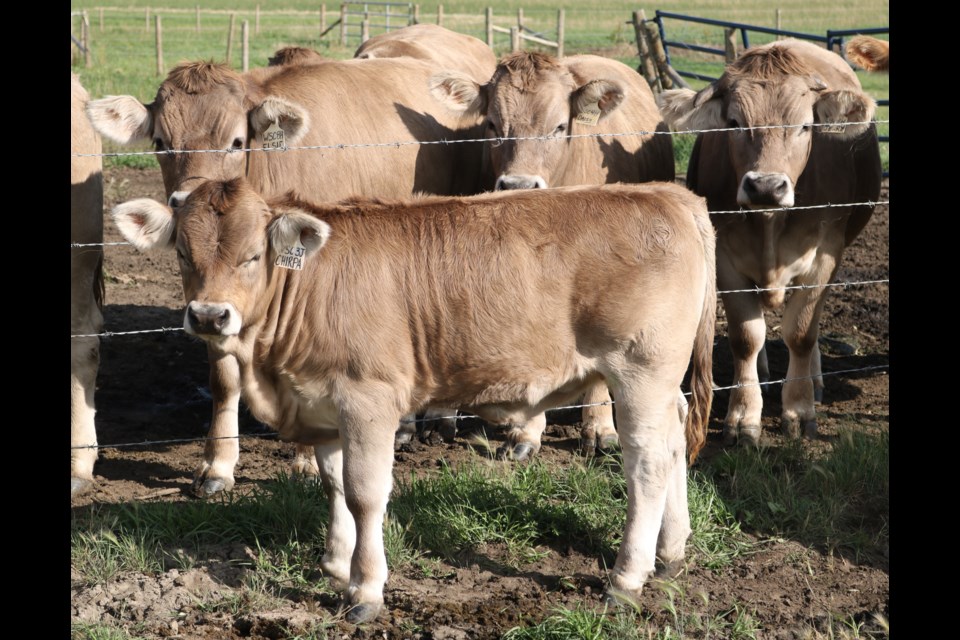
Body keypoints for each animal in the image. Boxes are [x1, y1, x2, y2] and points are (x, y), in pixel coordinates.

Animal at [85, 56, 492, 496]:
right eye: (161, 142)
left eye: (236, 141)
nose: (183, 200)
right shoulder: (215, 299)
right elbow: (224, 377)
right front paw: (217, 464)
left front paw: (307, 461)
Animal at [112, 176, 716, 624]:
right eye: (182, 253)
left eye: (254, 255)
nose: (209, 316)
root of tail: (666, 193)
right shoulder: (324, 403)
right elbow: (334, 484)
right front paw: (337, 562)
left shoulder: (368, 398)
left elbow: (364, 493)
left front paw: (365, 588)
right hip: (660, 381)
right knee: (674, 437)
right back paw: (670, 553)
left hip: (638, 370)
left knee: (646, 463)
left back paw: (627, 577)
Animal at [656, 38, 880, 444]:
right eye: (734, 123)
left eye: (806, 125)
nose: (765, 186)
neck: (769, 222)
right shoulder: (726, 258)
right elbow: (746, 336)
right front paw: (744, 415)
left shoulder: (825, 254)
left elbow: (801, 333)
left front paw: (800, 409)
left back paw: (815, 381)